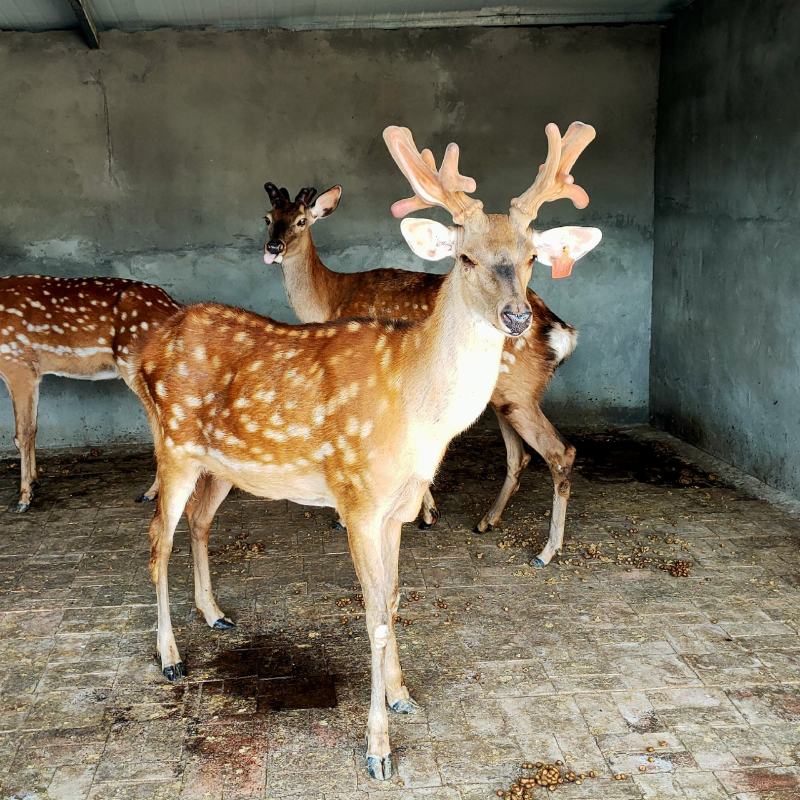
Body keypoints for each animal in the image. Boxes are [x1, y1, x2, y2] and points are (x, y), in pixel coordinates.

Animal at [1, 276, 180, 512]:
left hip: (136, 366)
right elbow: (33, 429)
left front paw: (23, 498)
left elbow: (22, 434)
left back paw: (150, 493)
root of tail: (175, 306)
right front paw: (34, 481)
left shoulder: (17, 364)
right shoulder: (34, 374)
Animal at [262, 122, 600, 564]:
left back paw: (546, 550)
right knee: (520, 455)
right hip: (503, 397)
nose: (273, 247)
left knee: (561, 452)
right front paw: (426, 511)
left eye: (302, 220)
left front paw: (404, 513)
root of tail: (560, 330)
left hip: (519, 390)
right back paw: (486, 521)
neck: (330, 298)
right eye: (268, 217)